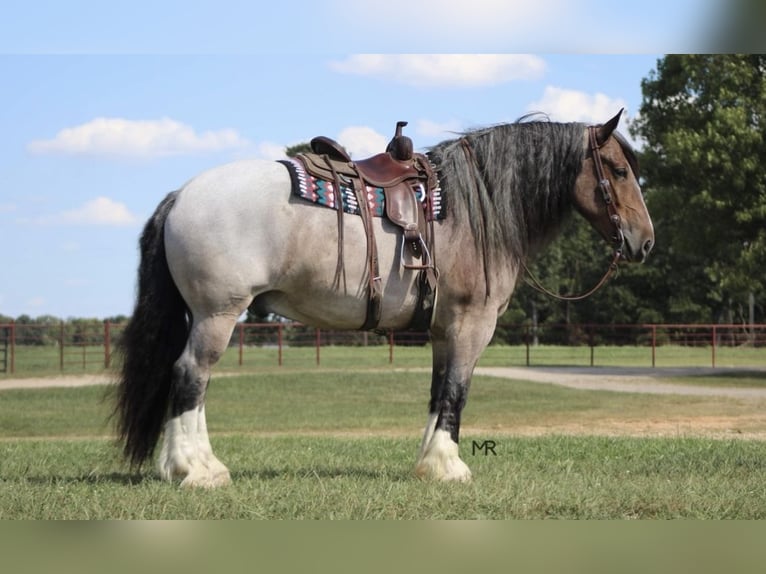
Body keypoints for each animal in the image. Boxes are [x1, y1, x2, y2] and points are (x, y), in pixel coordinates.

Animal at [112, 110, 656, 488]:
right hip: (217, 314)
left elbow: (438, 393)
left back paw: (195, 465)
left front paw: (429, 463)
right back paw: (195, 470)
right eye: (616, 170)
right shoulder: (471, 325)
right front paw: (449, 467)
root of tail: (182, 196)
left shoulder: (443, 330)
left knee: (193, 381)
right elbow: (457, 392)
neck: (474, 209)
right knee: (190, 376)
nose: (645, 242)